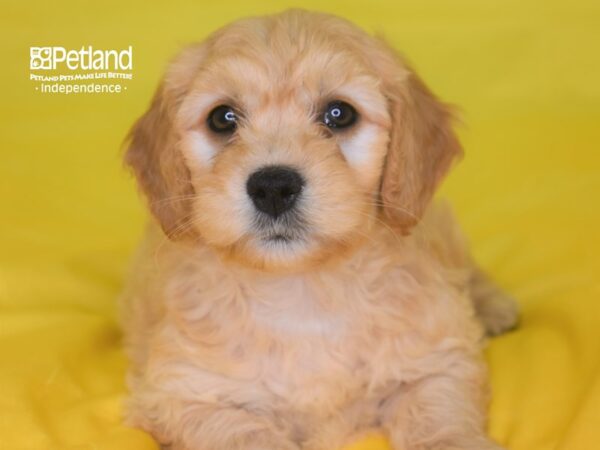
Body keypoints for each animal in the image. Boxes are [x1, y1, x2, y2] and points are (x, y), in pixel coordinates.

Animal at [120, 8, 516, 448]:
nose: (273, 188)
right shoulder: (185, 391)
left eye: (339, 114)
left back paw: (494, 306)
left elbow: (438, 420)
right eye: (222, 118)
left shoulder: (437, 361)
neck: (302, 294)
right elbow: (246, 433)